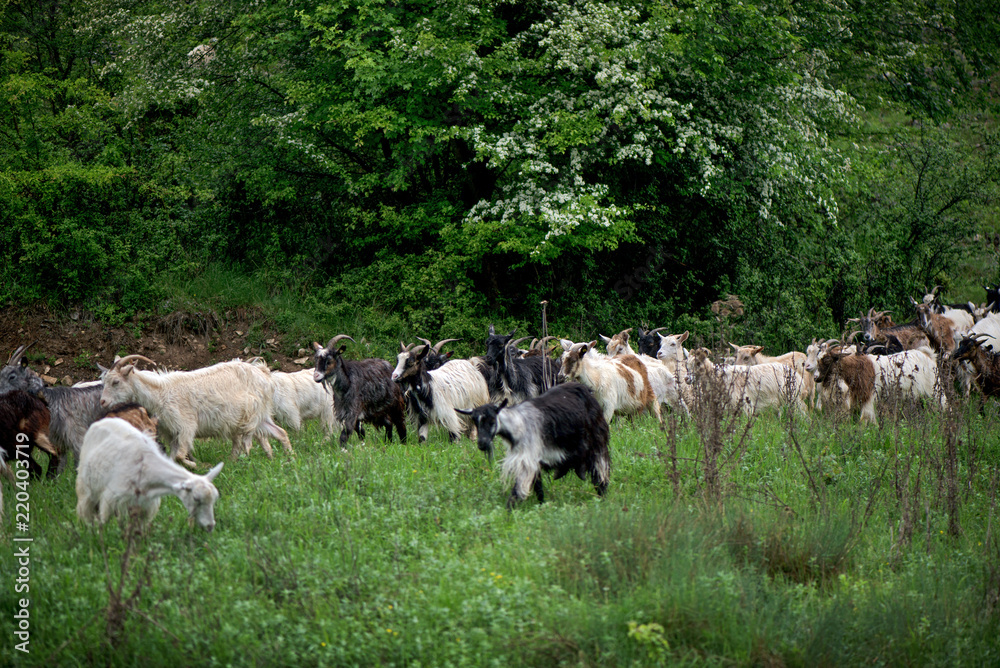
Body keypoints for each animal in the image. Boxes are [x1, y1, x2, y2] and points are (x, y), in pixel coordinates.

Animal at [75, 418, 224, 532]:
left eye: (214, 499)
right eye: (196, 498)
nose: (210, 526)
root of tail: (101, 421)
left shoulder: (146, 507)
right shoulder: (111, 499)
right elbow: (106, 523)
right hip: (85, 486)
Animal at [99, 358, 292, 468]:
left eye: (115, 382)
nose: (103, 402)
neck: (161, 393)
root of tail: (264, 373)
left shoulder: (186, 426)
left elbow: (179, 455)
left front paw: (196, 464)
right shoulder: (171, 432)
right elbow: (172, 457)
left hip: (251, 416)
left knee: (250, 441)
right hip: (261, 417)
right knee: (280, 432)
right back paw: (286, 459)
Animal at [458, 380, 608, 506]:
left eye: (492, 421)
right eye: (475, 422)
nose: (482, 444)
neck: (517, 425)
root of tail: (586, 390)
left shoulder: (527, 459)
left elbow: (518, 490)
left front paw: (508, 513)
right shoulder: (533, 460)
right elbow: (538, 487)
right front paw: (541, 505)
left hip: (597, 443)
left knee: (600, 474)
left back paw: (602, 499)